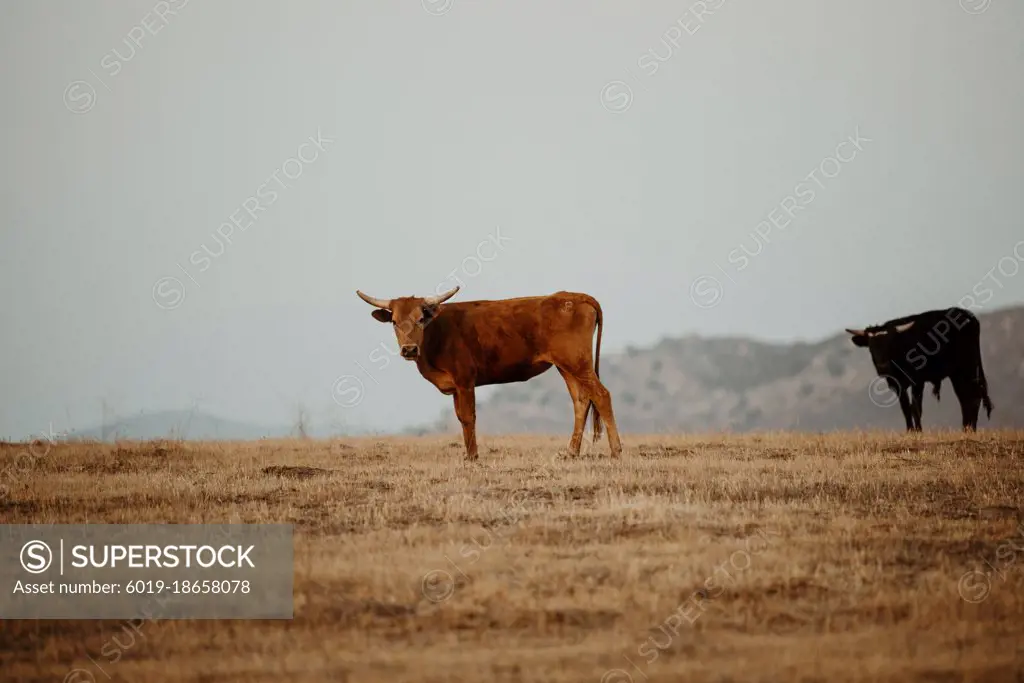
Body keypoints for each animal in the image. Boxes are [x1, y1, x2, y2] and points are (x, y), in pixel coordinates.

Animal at [352, 286, 622, 462]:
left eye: (420, 319)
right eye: (395, 322)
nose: (409, 349)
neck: (436, 333)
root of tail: (574, 296)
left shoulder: (465, 380)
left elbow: (469, 416)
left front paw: (472, 456)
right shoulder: (455, 387)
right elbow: (461, 418)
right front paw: (468, 453)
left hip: (578, 362)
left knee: (601, 395)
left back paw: (616, 450)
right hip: (566, 366)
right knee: (581, 400)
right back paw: (571, 452)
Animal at [847, 309, 991, 432]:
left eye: (890, 344)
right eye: (871, 347)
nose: (882, 367)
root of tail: (968, 315)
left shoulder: (917, 381)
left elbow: (916, 407)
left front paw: (919, 431)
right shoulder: (897, 384)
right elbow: (905, 407)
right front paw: (910, 431)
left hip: (967, 366)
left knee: (972, 395)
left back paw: (970, 429)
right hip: (957, 372)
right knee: (965, 396)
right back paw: (967, 428)